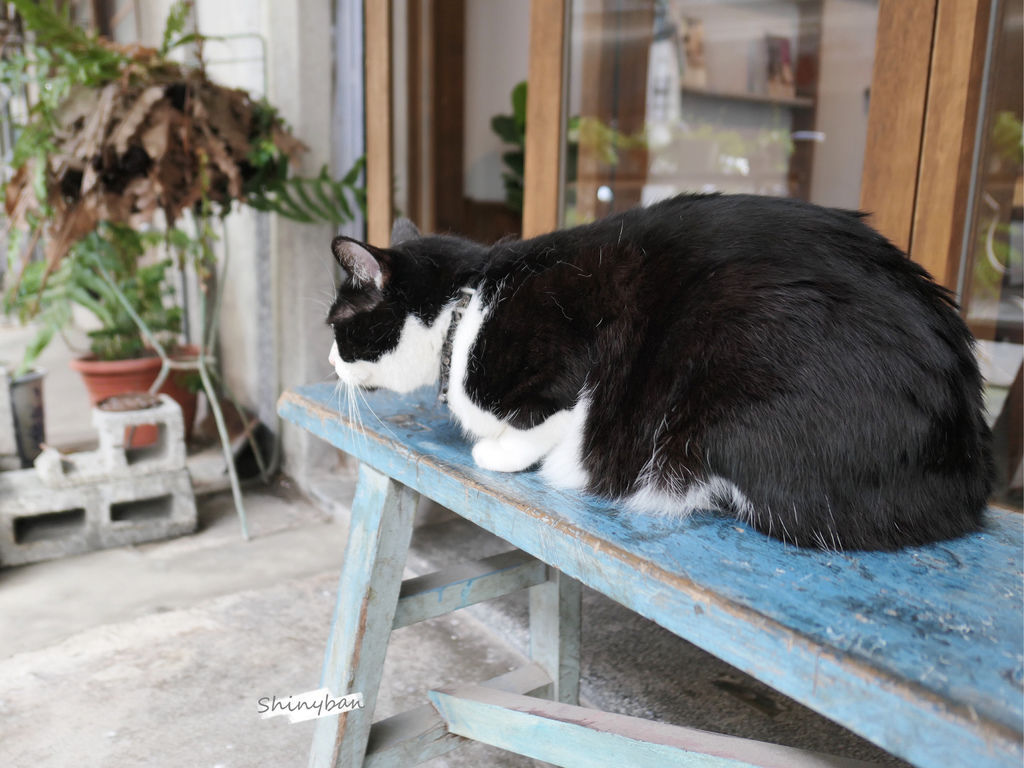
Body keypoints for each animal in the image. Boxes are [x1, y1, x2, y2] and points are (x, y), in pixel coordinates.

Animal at [327, 195, 991, 548]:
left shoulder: (570, 356)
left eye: (336, 326)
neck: (465, 305)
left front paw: (500, 451)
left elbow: (542, 422)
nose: (329, 362)